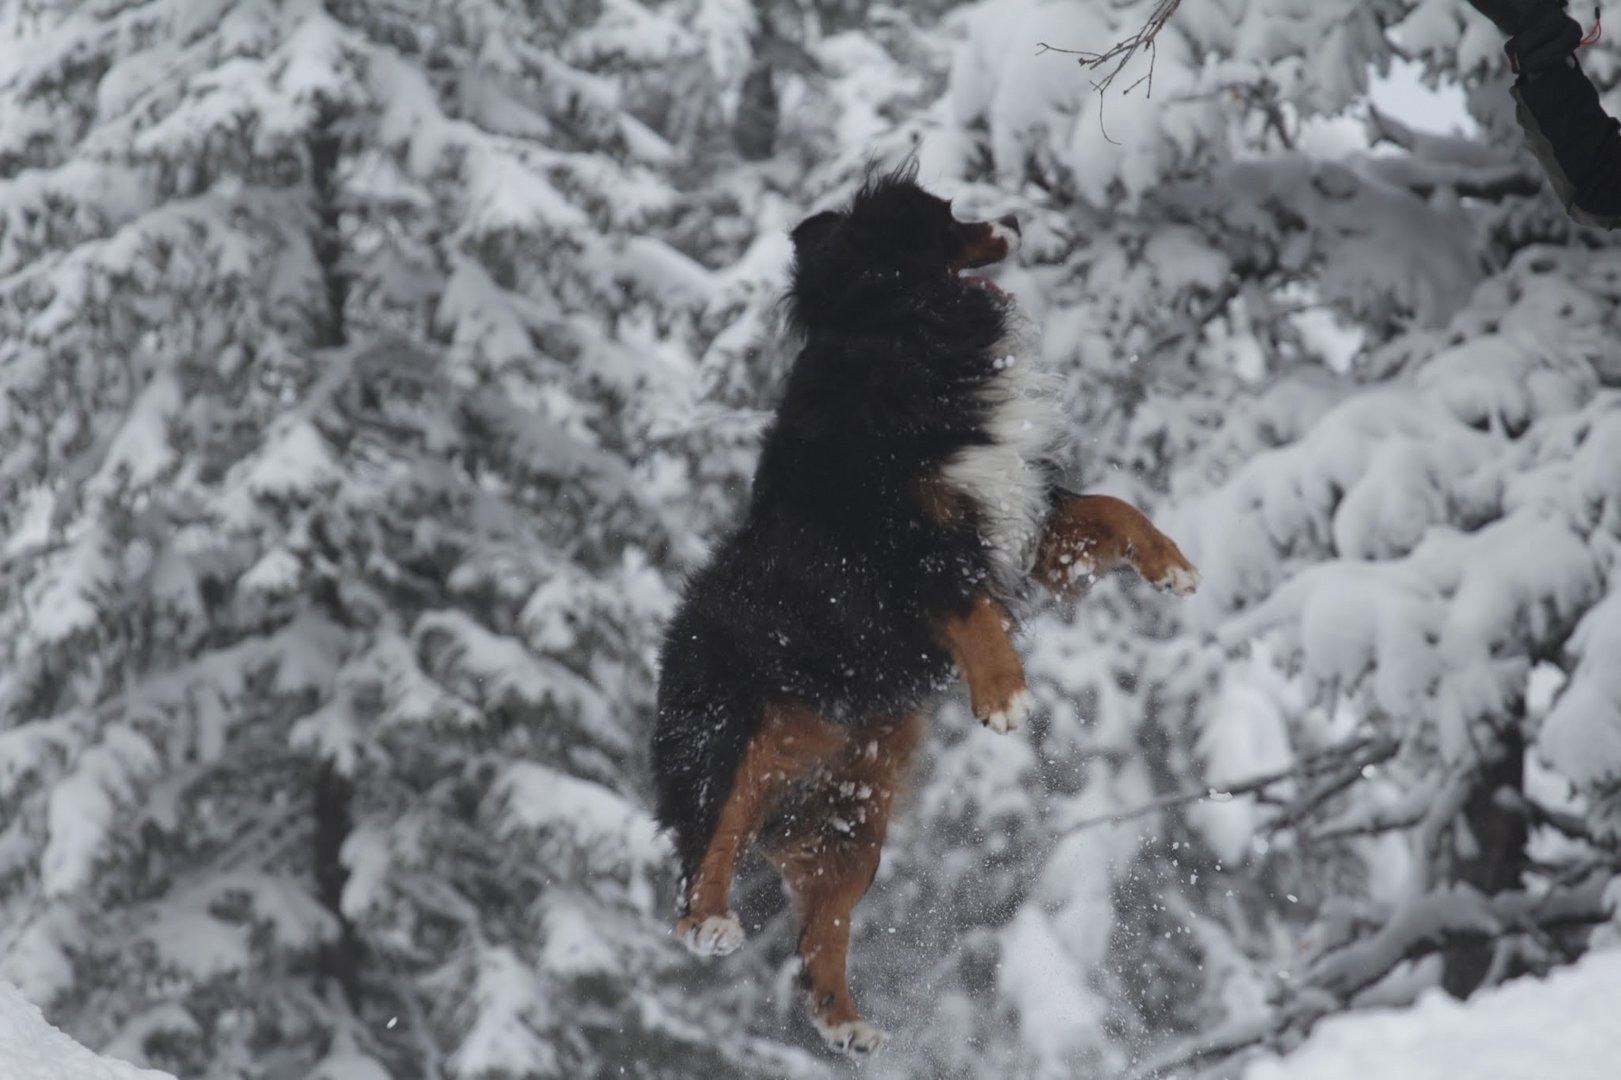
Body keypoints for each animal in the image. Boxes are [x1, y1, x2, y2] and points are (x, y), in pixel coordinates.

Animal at [651, 168, 1199, 1050]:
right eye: (948, 217)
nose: (1014, 218)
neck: (908, 337)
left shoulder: (1015, 507)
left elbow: (1108, 506)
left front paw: (1169, 566)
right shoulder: (907, 546)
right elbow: (971, 612)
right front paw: (1005, 698)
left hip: (852, 812)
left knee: (820, 925)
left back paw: (844, 1024)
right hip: (737, 740)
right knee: (709, 841)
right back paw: (708, 923)